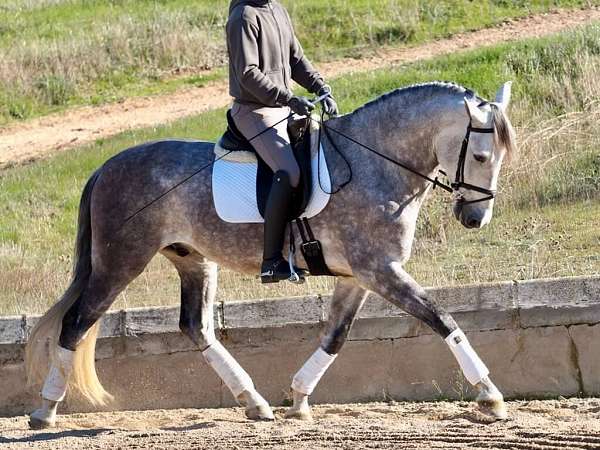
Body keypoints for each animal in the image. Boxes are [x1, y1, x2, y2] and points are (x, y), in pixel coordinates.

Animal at [27, 81, 516, 428]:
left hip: (194, 260)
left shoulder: (359, 276)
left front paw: (298, 399)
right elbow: (442, 318)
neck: (376, 162)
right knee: (76, 323)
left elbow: (335, 336)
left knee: (195, 326)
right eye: (479, 155)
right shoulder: (381, 270)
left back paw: (254, 402)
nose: (475, 218)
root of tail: (107, 166)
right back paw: (45, 410)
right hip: (121, 262)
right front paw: (490, 395)